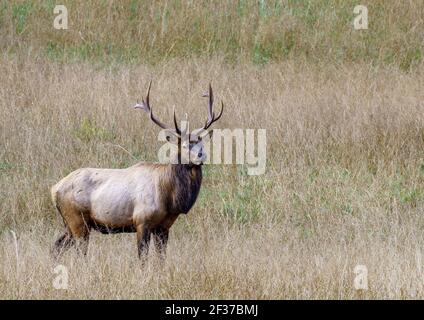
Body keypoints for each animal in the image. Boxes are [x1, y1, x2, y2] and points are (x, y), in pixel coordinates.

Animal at [50, 82, 224, 260]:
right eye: (183, 145)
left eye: (202, 143)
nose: (201, 155)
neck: (169, 197)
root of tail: (54, 189)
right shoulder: (142, 221)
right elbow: (142, 257)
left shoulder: (164, 227)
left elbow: (161, 259)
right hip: (77, 220)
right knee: (78, 252)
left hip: (70, 224)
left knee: (56, 246)